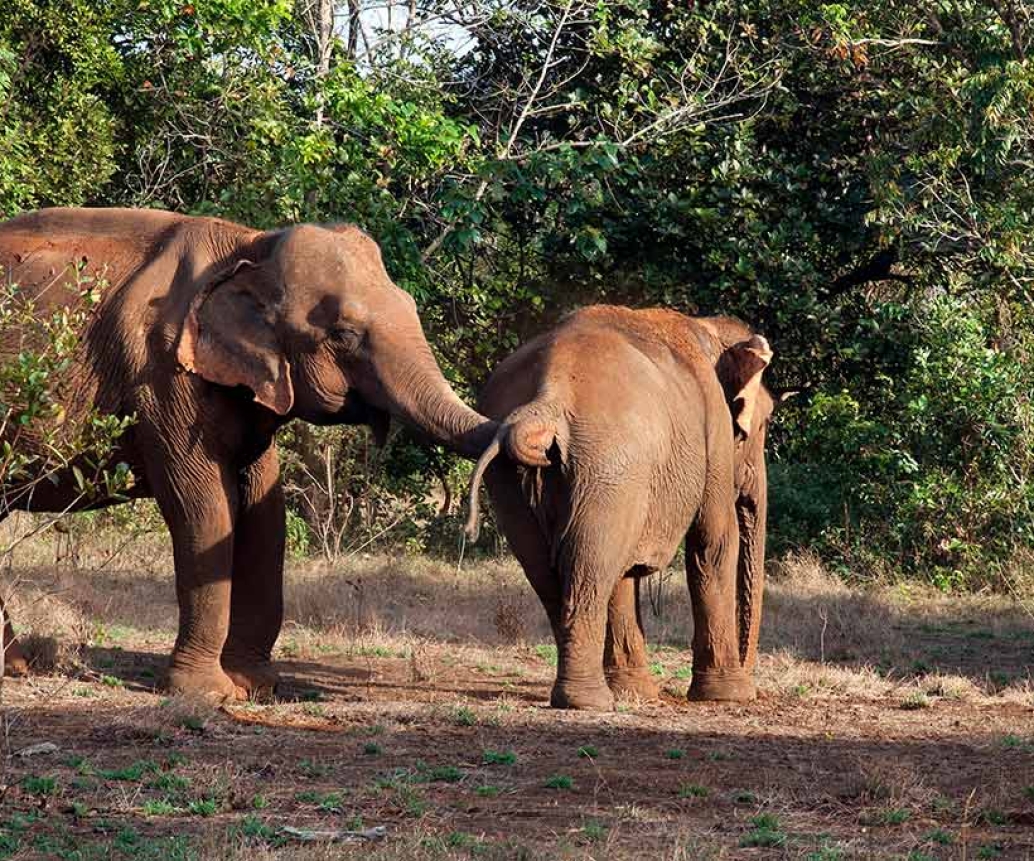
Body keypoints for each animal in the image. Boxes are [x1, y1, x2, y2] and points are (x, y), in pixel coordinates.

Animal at [0, 208, 496, 698]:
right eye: (343, 334)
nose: (469, 532)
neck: (251, 245)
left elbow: (266, 514)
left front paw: (254, 685)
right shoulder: (163, 376)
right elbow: (204, 509)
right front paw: (207, 694)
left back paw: (14, 667)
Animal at [465, 305, 773, 706]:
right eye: (763, 426)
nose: (753, 684)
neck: (707, 327)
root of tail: (546, 400)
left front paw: (635, 690)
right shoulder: (714, 430)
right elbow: (714, 542)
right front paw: (729, 695)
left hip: (517, 483)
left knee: (553, 569)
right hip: (609, 466)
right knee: (592, 565)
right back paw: (589, 701)